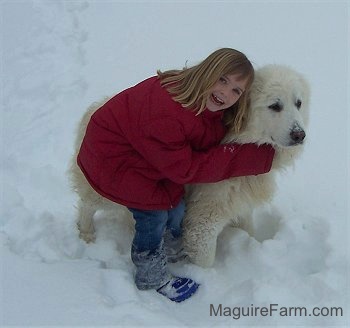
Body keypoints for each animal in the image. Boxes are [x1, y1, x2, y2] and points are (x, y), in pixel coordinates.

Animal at [182, 65, 310, 268]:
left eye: (298, 103)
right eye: (275, 106)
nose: (299, 135)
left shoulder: (239, 200)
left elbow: (246, 228)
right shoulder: (204, 216)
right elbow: (204, 259)